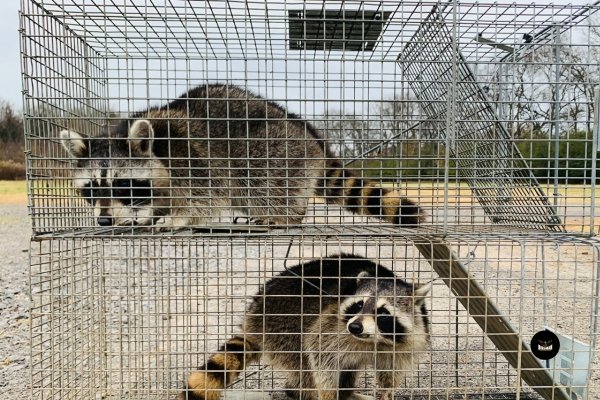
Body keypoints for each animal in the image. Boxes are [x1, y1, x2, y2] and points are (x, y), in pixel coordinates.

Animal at [58, 83, 420, 228]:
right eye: (91, 189)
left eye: (122, 184)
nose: (104, 220)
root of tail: (313, 138)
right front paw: (147, 214)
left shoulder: (191, 158)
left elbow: (203, 195)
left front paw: (178, 216)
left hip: (275, 150)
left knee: (261, 183)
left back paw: (287, 215)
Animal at [179, 256, 432, 400]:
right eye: (358, 304)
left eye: (382, 312)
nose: (355, 327)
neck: (371, 340)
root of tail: (253, 316)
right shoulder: (330, 326)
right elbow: (321, 357)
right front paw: (329, 394)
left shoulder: (407, 340)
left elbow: (392, 371)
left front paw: (386, 392)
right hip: (282, 325)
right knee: (304, 365)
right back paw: (308, 392)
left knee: (348, 369)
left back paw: (348, 393)